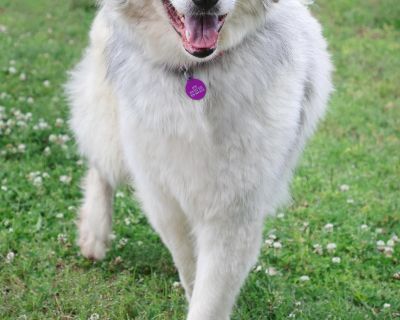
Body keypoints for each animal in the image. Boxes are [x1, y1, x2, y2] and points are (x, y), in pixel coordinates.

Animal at [66, 0, 332, 318]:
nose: (205, 2)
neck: (195, 72)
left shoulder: (234, 211)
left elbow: (210, 295)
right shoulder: (163, 198)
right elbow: (188, 262)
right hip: (110, 125)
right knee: (100, 166)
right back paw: (94, 234)